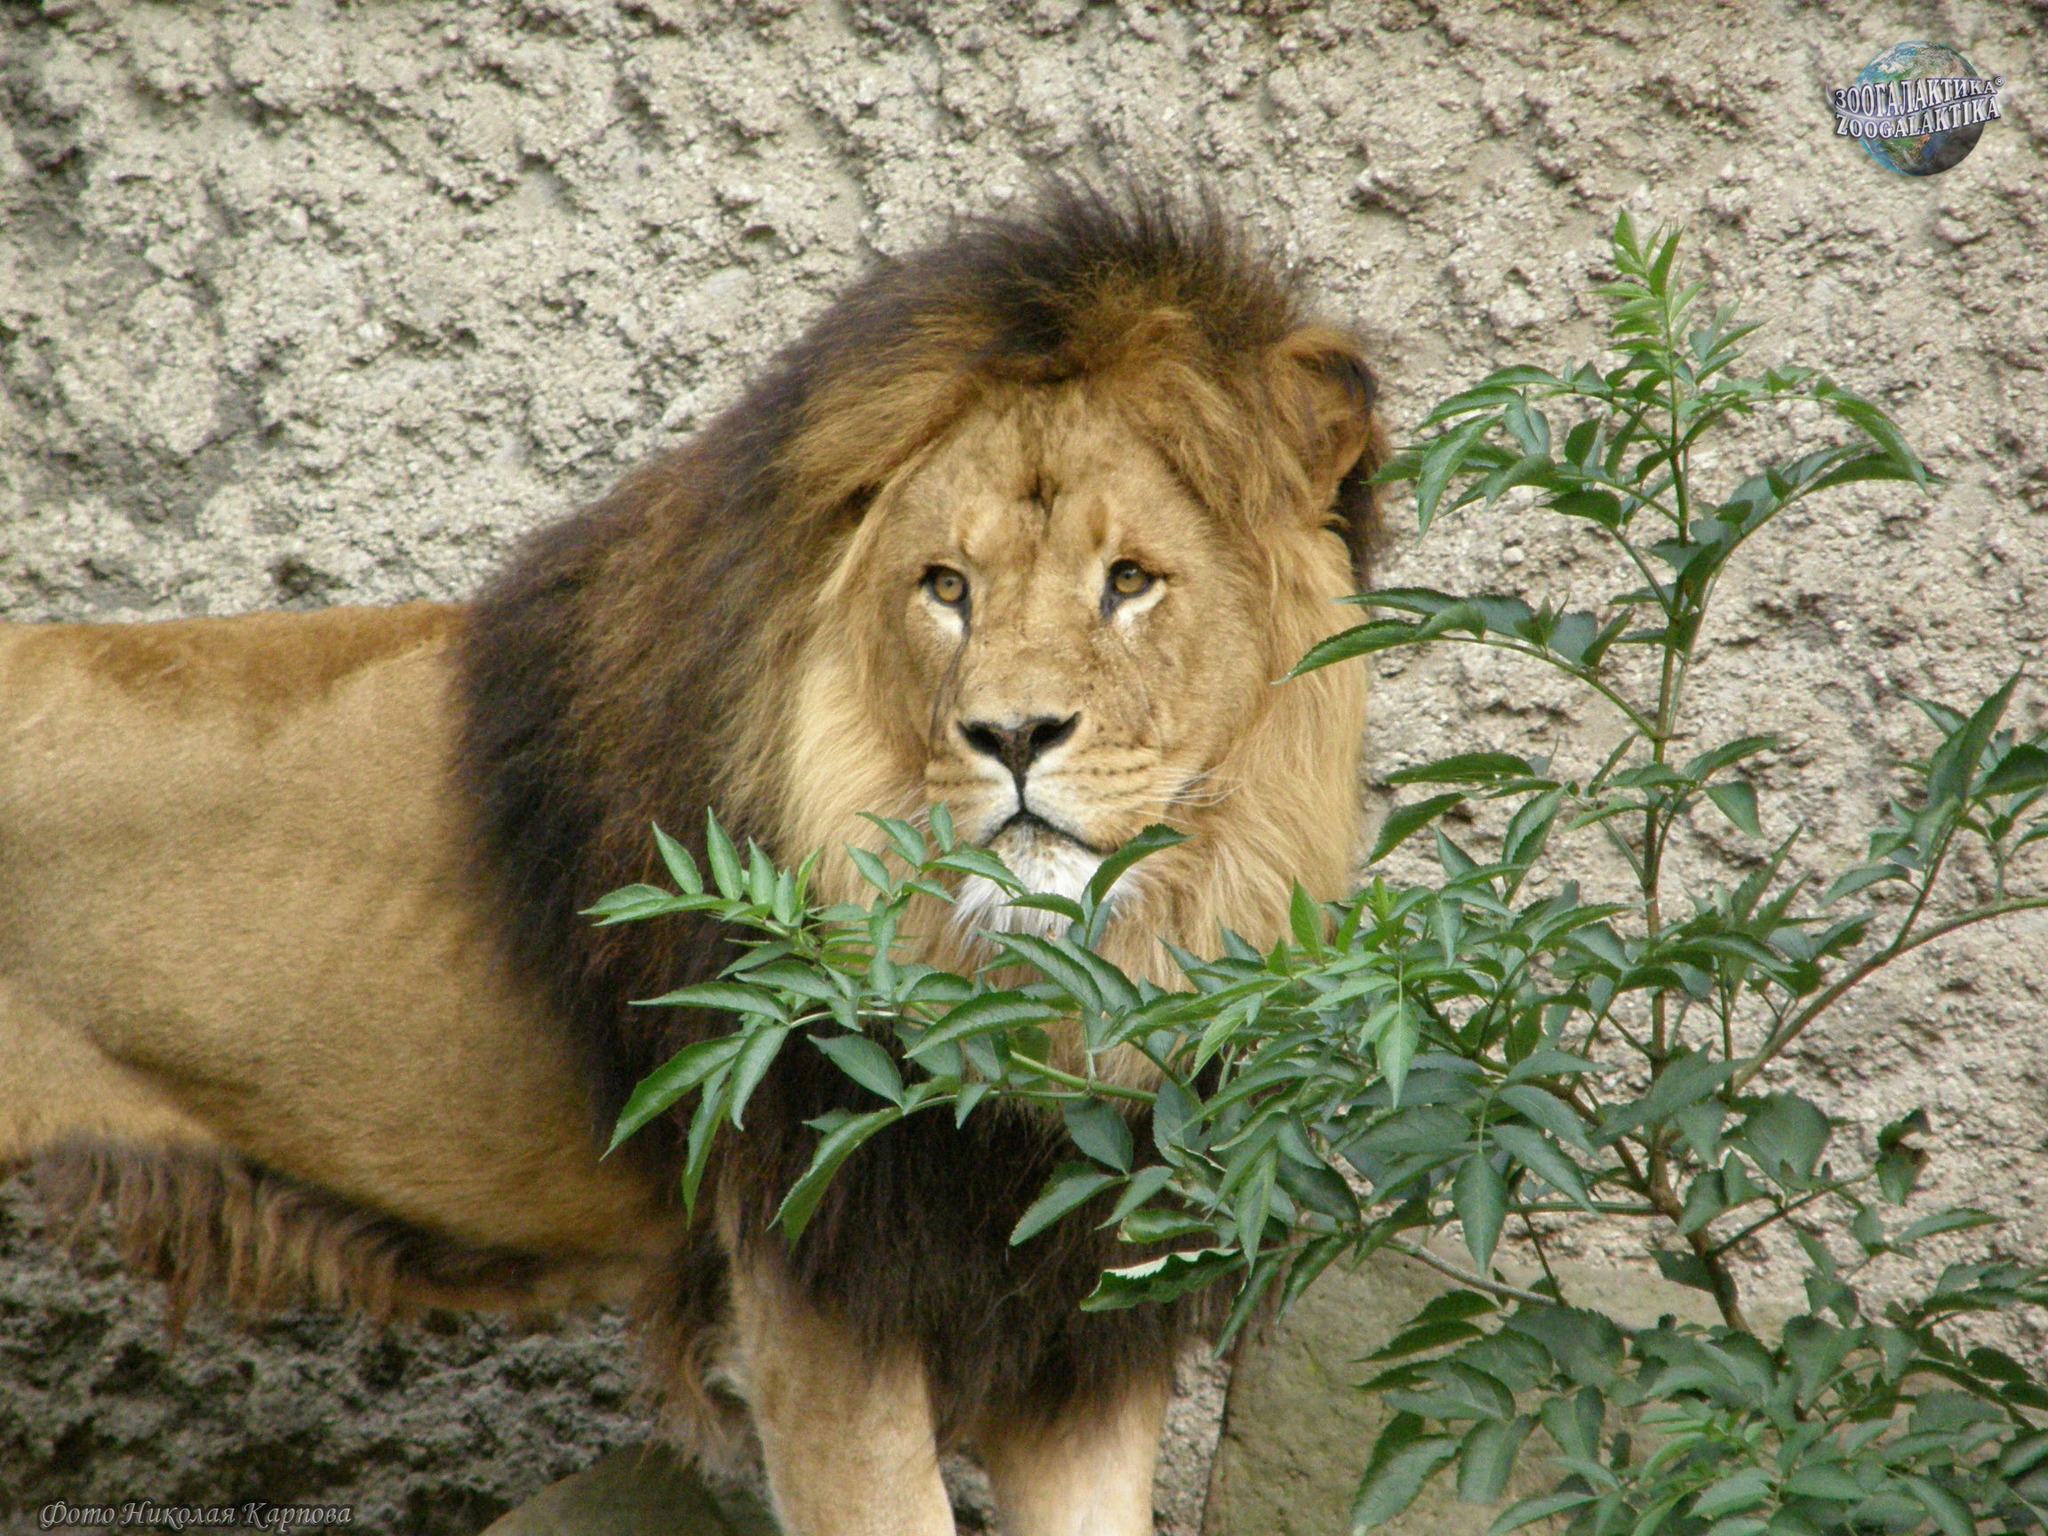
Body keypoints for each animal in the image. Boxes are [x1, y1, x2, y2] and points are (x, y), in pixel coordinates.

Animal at [0, 192, 1384, 1536]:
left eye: (1130, 581)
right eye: (944, 587)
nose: (1010, 736)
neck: (1046, 993)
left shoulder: (1076, 1322)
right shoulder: (816, 1288)